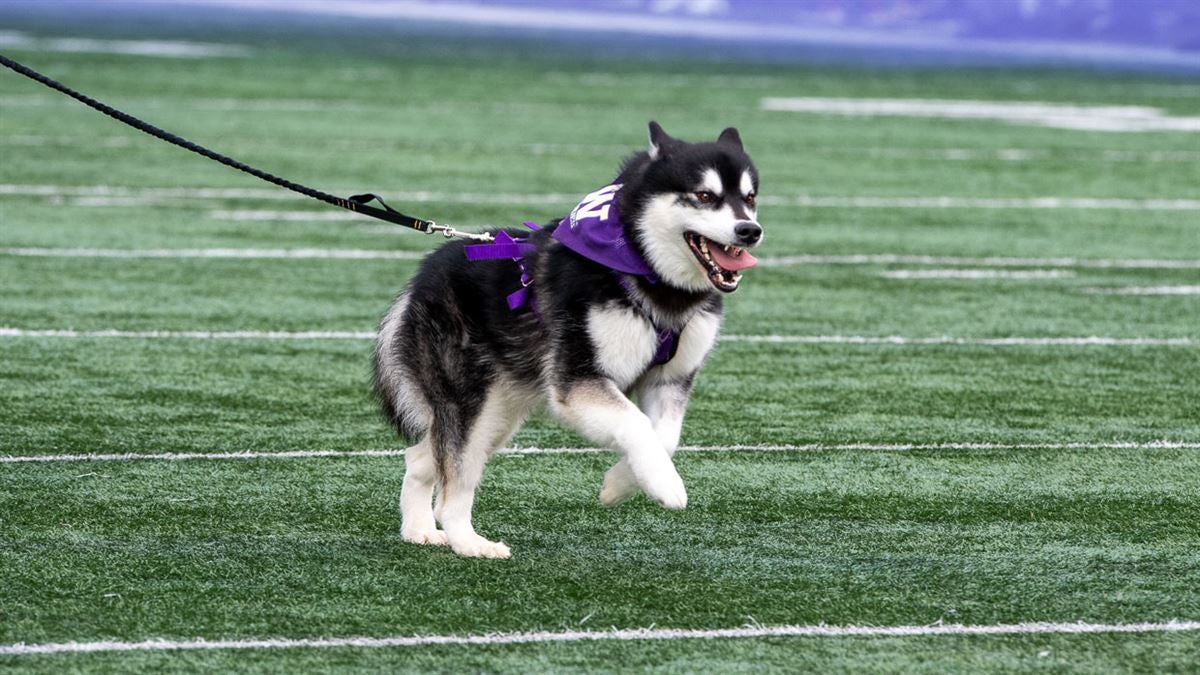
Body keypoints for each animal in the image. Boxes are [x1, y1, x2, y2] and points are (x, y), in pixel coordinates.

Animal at [374, 121, 763, 557]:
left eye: (749, 197)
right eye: (704, 195)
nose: (750, 231)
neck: (645, 271)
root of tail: (424, 274)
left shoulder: (671, 379)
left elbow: (665, 436)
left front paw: (621, 483)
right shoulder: (577, 379)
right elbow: (636, 424)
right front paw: (666, 484)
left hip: (499, 411)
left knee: (422, 457)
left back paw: (420, 528)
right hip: (472, 402)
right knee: (453, 480)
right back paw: (469, 542)